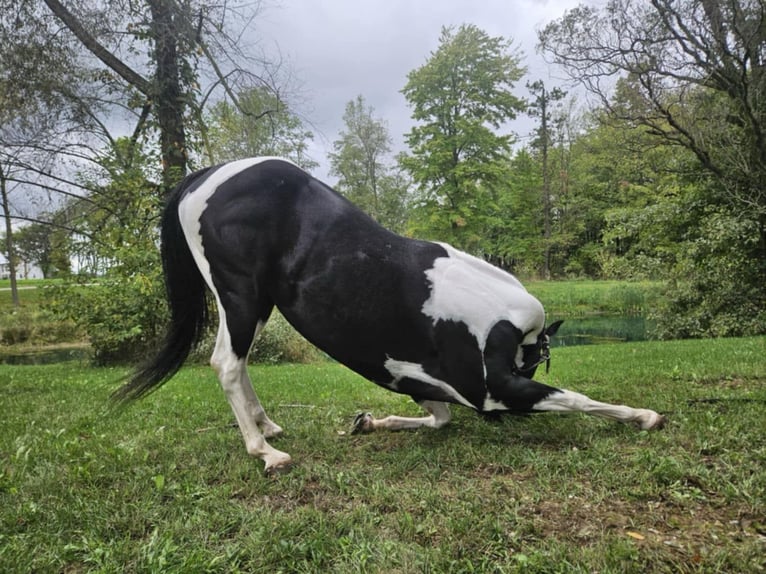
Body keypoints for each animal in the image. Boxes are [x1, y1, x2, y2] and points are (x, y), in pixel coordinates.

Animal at [115, 157, 665, 474]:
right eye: (528, 363)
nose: (496, 422)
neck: (497, 314)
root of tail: (201, 178)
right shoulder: (495, 390)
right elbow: (575, 398)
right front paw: (644, 416)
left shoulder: (422, 380)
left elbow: (438, 419)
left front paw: (370, 422)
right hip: (241, 299)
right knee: (227, 364)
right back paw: (265, 453)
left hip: (257, 306)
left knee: (240, 363)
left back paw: (266, 426)